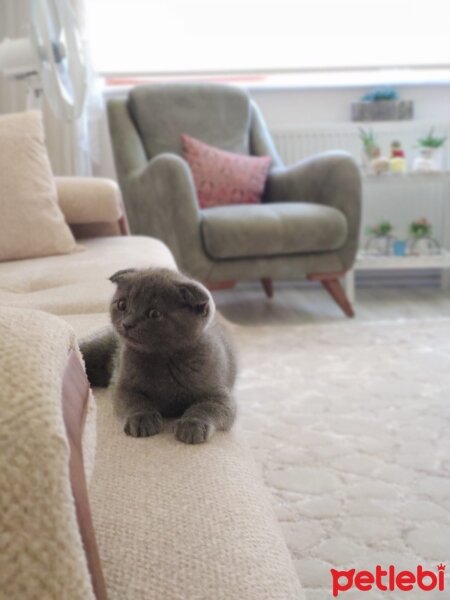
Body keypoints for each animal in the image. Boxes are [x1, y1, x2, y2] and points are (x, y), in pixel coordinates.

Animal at [79, 270, 237, 442]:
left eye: (154, 313)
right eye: (122, 305)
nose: (127, 323)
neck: (163, 358)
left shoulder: (220, 395)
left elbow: (206, 407)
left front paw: (192, 424)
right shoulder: (122, 386)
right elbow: (135, 401)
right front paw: (142, 418)